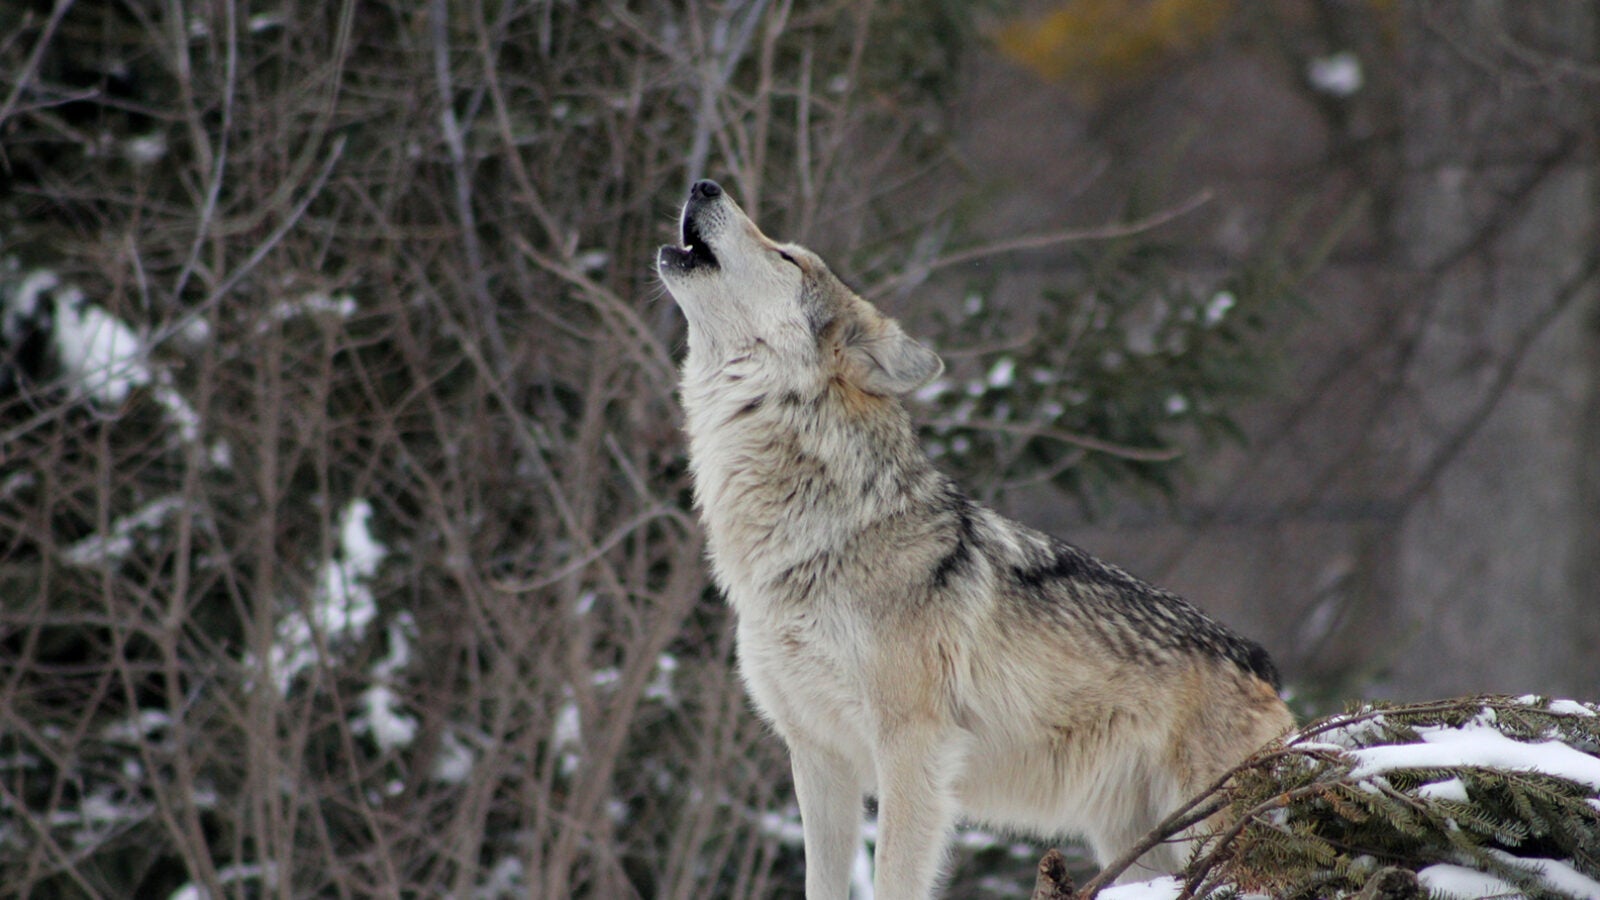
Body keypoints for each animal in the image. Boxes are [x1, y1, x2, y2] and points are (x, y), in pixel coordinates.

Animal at [657, 179, 1294, 900]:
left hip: (1206, 835)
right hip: (1138, 845)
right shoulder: (818, 758)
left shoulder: (913, 750)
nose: (703, 184)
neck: (814, 537)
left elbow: (893, 880)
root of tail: (1264, 667)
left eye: (787, 256)